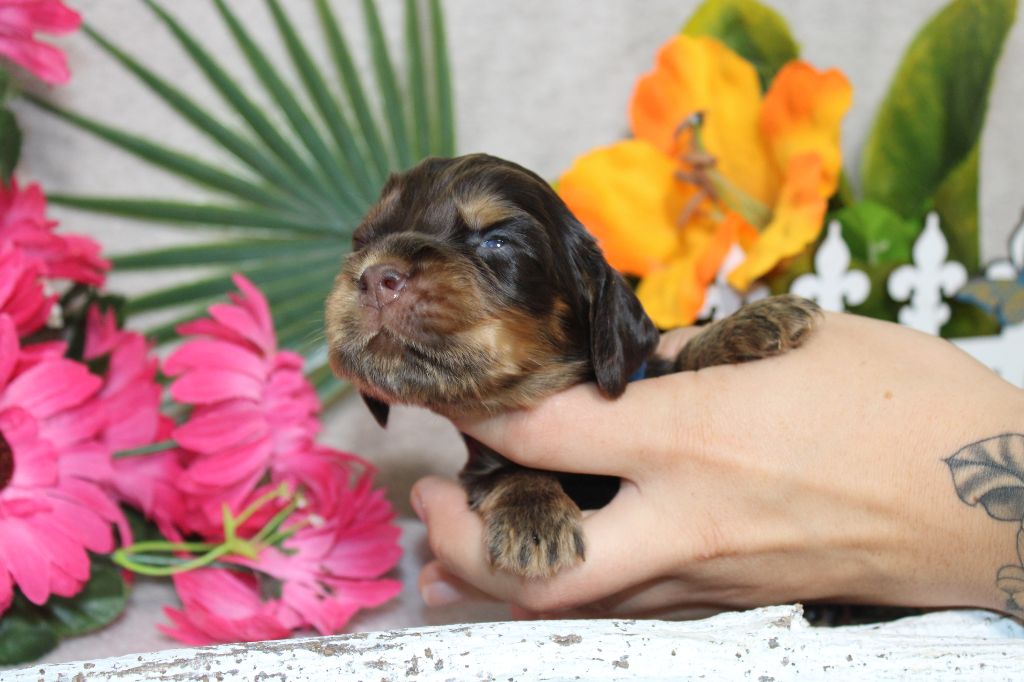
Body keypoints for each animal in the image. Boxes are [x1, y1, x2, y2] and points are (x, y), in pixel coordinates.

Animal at [323, 155, 819, 577]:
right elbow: (511, 470)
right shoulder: (480, 465)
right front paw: (534, 516)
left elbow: (675, 361)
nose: (375, 277)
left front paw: (753, 321)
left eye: (497, 240)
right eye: (363, 240)